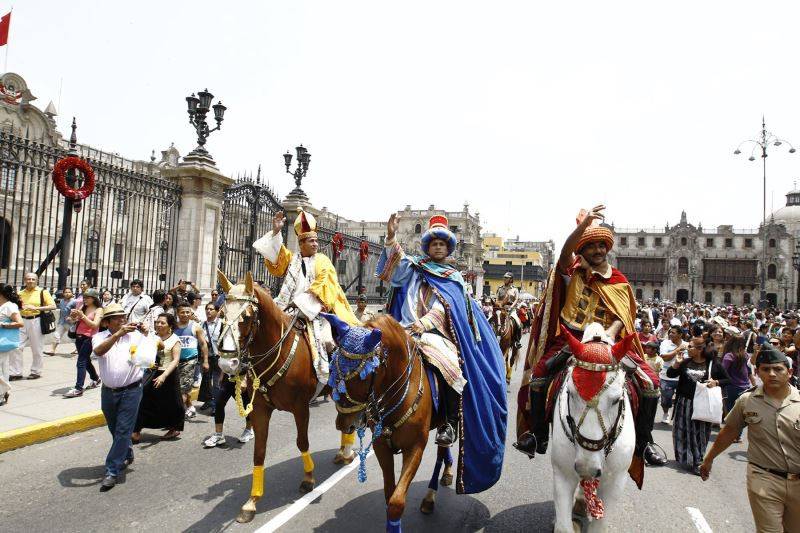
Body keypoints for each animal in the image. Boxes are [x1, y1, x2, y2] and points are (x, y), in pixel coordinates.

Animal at [214, 272, 354, 520]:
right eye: (221, 315)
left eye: (247, 317)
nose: (227, 364)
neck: (277, 353)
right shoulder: (261, 410)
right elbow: (259, 452)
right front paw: (252, 501)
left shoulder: (301, 408)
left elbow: (302, 442)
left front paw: (308, 479)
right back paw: (342, 452)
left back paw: (348, 453)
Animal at [330, 312, 454, 532]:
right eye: (333, 371)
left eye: (361, 377)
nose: (343, 424)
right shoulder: (382, 446)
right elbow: (389, 496)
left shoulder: (415, 447)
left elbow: (396, 503)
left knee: (442, 449)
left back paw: (431, 495)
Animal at [552, 324, 636, 532]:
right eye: (571, 393)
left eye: (617, 400)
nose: (586, 467)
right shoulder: (563, 474)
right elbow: (563, 527)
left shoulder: (616, 482)